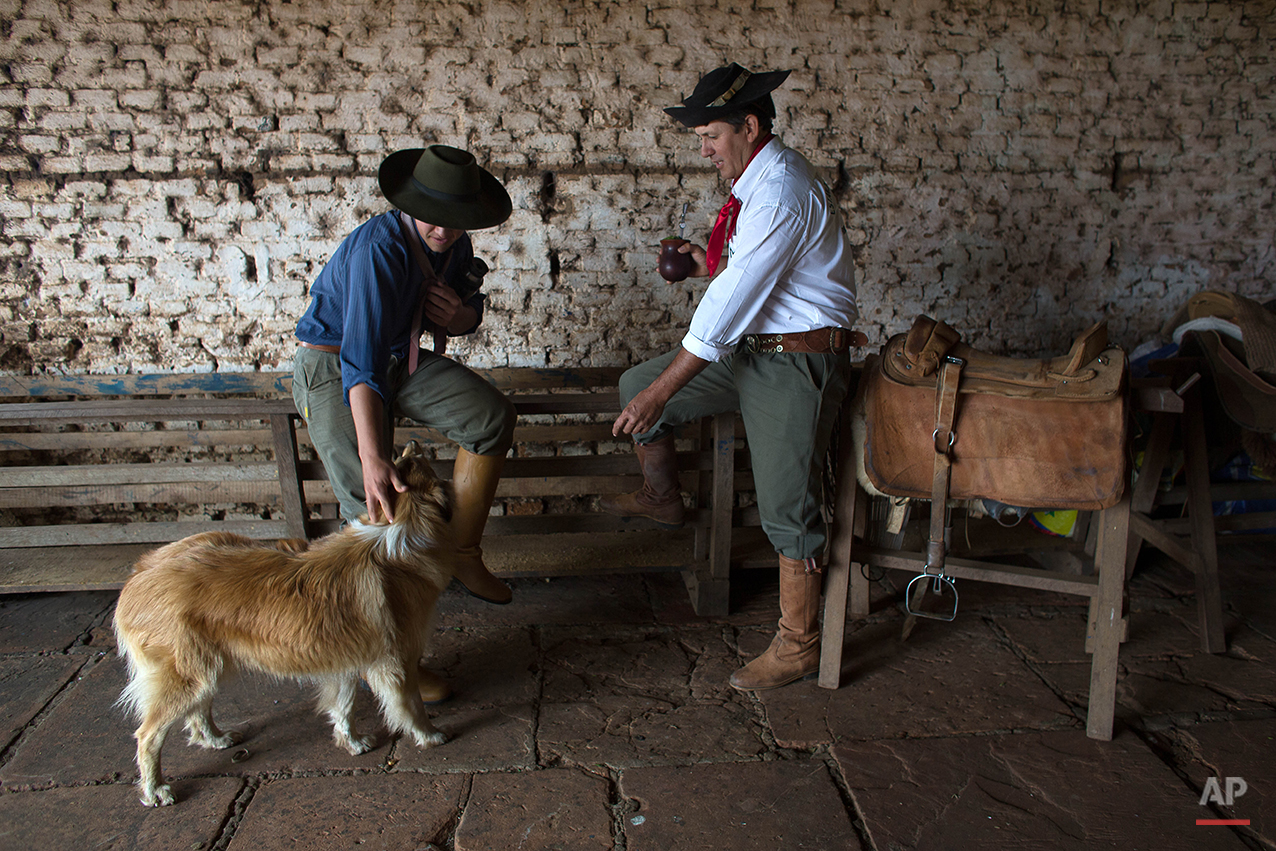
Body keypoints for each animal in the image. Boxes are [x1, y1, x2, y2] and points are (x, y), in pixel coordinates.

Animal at [113, 444, 454, 811]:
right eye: (426, 465)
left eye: (407, 462)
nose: (416, 443)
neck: (399, 529)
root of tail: (137, 575)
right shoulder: (395, 663)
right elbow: (411, 706)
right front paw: (430, 735)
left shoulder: (348, 659)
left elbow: (343, 705)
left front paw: (351, 742)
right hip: (188, 675)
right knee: (148, 735)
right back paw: (155, 789)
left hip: (207, 670)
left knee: (197, 712)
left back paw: (217, 739)